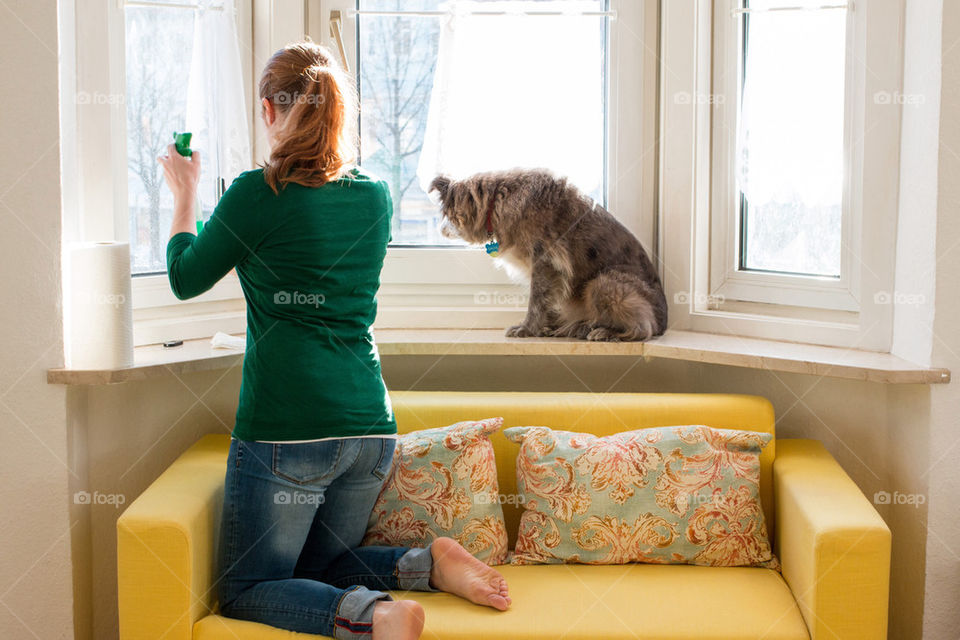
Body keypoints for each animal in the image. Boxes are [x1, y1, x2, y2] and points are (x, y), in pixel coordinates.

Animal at [430, 169, 664, 340]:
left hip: (603, 284)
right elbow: (547, 302)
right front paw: (546, 326)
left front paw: (527, 329)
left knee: (643, 327)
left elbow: (536, 300)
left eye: (448, 214)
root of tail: (663, 324)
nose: (440, 230)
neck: (497, 200)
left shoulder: (546, 262)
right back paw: (581, 327)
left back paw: (606, 331)